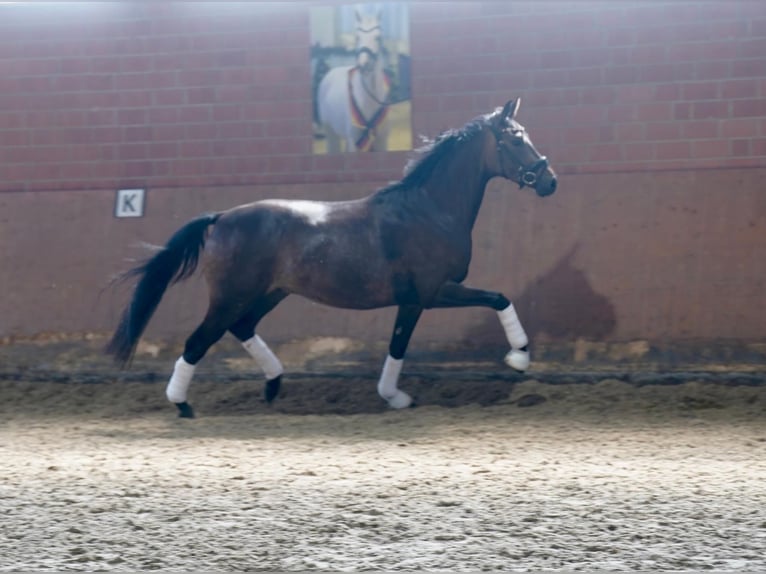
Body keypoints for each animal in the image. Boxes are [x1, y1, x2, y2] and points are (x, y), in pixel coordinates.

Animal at [106, 100, 560, 418]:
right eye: (515, 138)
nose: (550, 181)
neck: (429, 210)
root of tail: (220, 218)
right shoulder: (432, 293)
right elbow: (496, 298)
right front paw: (519, 358)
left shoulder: (414, 300)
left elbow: (399, 345)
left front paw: (395, 398)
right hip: (231, 296)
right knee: (198, 341)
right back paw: (182, 405)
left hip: (270, 293)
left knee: (242, 327)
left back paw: (273, 385)